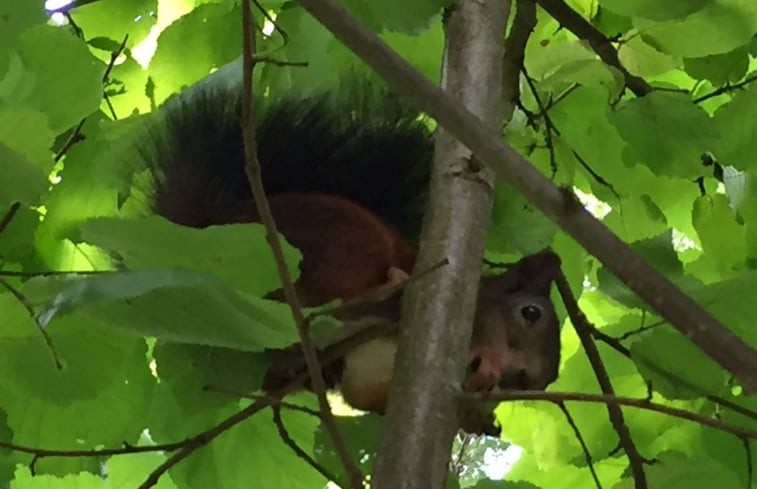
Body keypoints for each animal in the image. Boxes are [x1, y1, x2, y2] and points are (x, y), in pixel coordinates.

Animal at [140, 80, 560, 420]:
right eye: (531, 312)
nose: (529, 378)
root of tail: (212, 229)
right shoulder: (471, 301)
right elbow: (483, 322)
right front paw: (488, 359)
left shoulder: (369, 375)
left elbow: (366, 398)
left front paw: (476, 420)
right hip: (341, 241)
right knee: (328, 298)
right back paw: (388, 287)